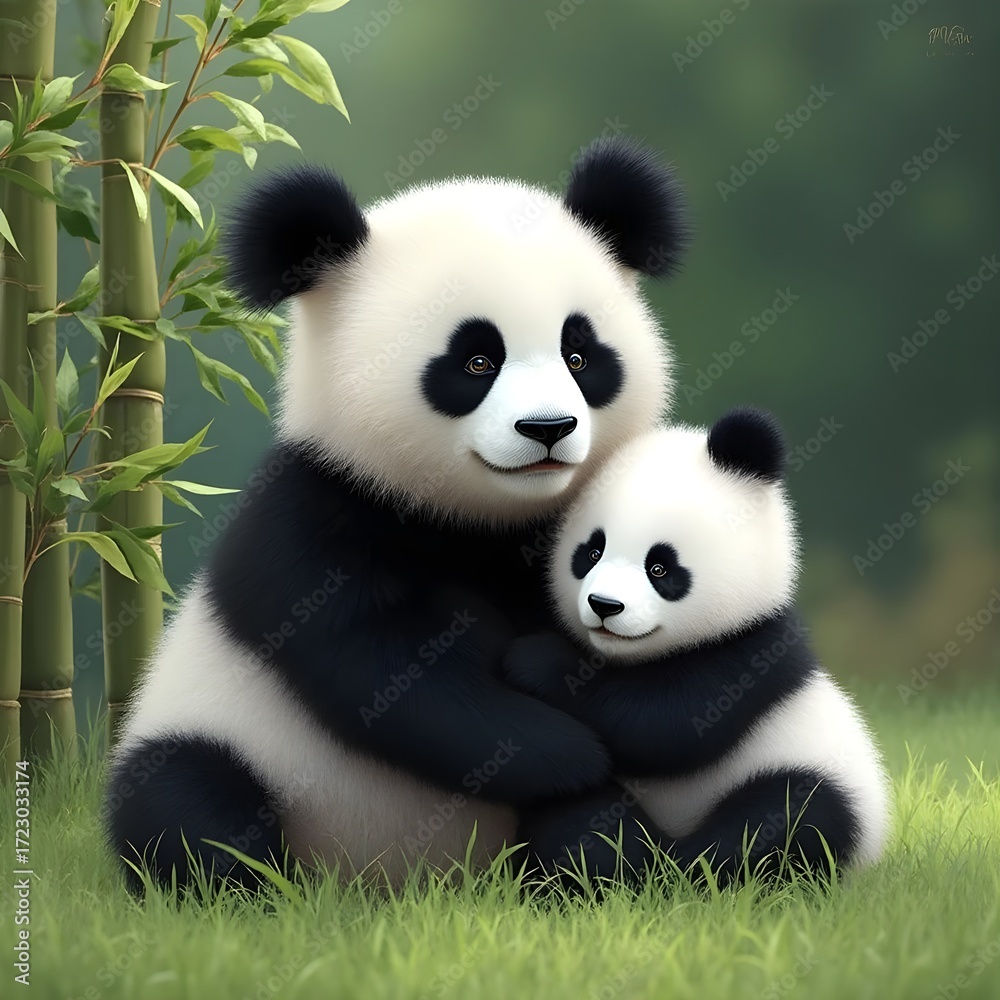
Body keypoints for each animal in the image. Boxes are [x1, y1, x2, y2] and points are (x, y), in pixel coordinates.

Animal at [105, 136, 692, 890]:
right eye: (476, 361)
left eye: (580, 354)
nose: (548, 428)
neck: (479, 520)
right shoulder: (316, 515)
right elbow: (387, 672)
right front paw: (568, 752)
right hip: (219, 740)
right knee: (185, 800)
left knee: (588, 833)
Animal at [502, 406, 891, 884]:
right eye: (591, 552)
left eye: (660, 567)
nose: (604, 605)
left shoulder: (752, 650)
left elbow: (668, 723)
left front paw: (536, 660)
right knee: (574, 813)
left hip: (822, 778)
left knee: (794, 816)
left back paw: (694, 868)